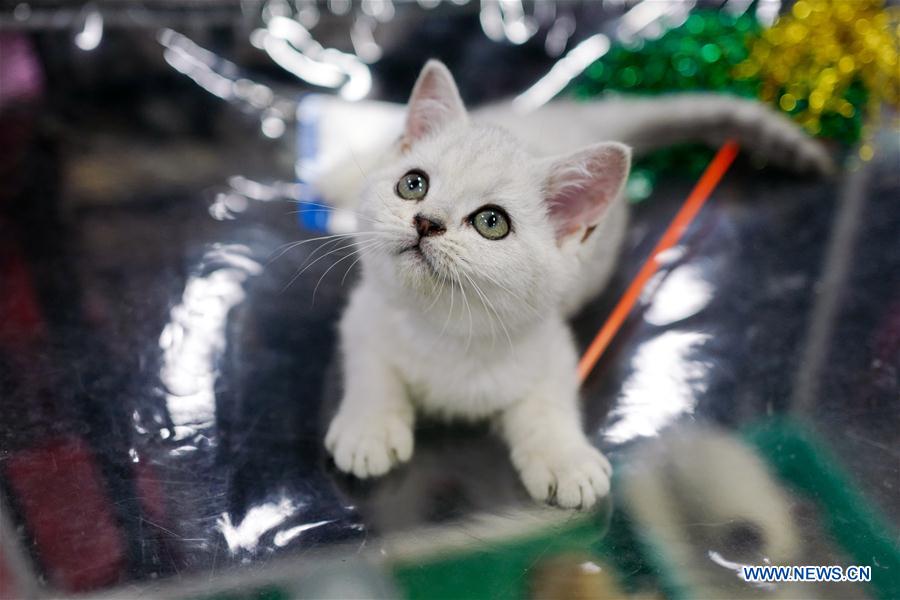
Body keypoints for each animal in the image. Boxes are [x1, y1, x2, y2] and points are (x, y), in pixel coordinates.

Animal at [322, 61, 624, 508]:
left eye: (491, 222)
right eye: (413, 184)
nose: (426, 221)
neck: (445, 329)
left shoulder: (550, 346)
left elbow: (546, 404)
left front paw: (565, 457)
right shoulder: (362, 315)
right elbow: (373, 369)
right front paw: (369, 428)